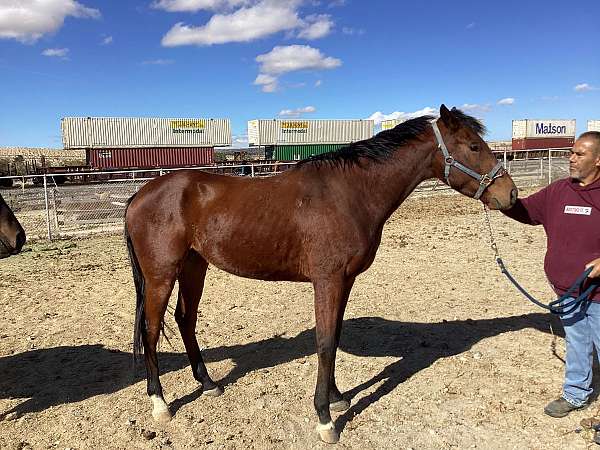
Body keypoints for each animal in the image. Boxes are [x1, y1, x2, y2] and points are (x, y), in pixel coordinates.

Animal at [124, 104, 516, 442]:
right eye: (474, 146)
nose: (509, 194)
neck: (349, 193)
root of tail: (140, 195)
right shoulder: (328, 281)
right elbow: (325, 343)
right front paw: (325, 420)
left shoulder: (345, 281)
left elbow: (335, 337)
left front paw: (338, 397)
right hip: (161, 275)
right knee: (152, 330)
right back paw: (160, 404)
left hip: (194, 266)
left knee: (185, 320)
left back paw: (208, 384)